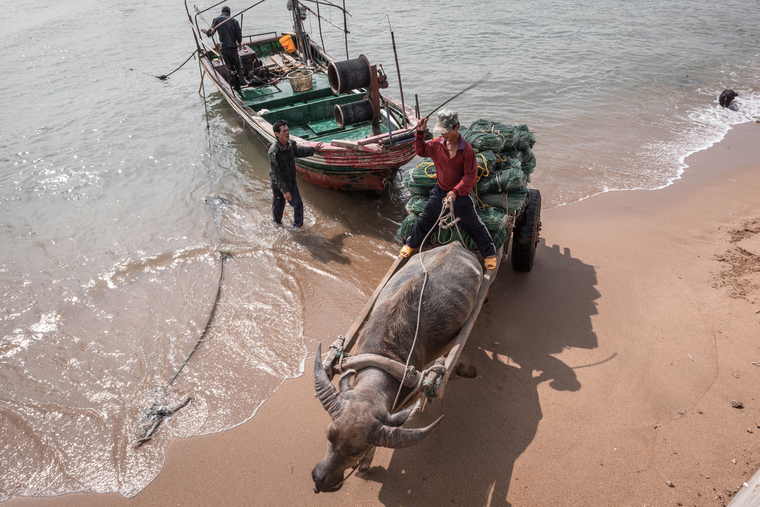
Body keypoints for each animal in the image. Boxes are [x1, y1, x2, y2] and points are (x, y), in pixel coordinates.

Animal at [314, 242, 480, 492]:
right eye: (329, 433)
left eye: (358, 450)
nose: (320, 480)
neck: (385, 353)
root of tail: (457, 244)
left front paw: (366, 464)